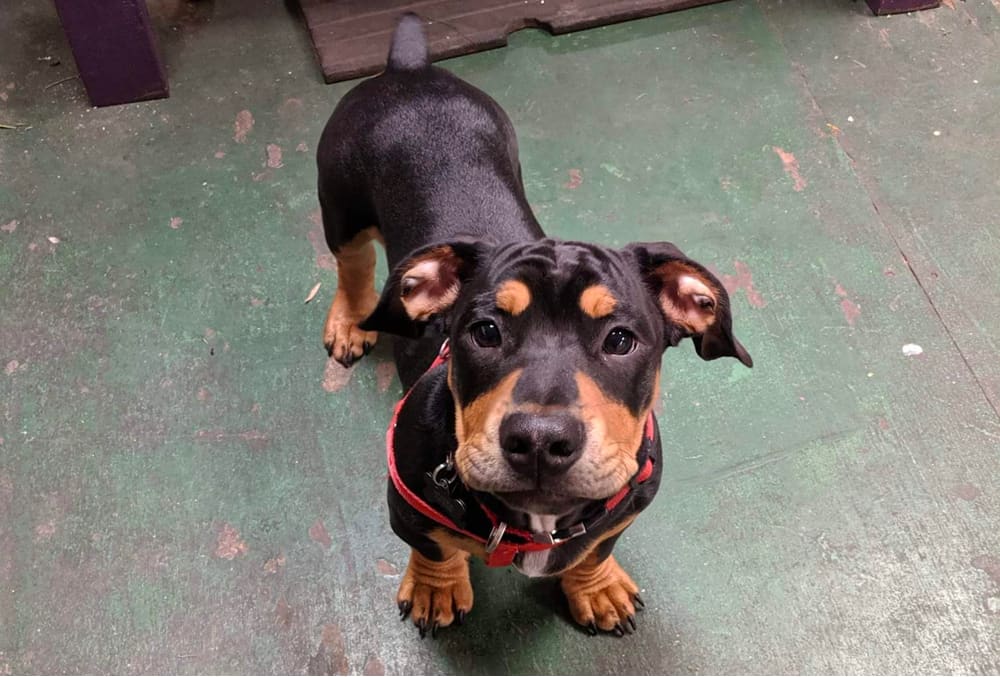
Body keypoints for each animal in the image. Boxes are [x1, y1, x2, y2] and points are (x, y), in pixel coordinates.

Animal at [316, 13, 752, 636]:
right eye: (484, 332)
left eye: (621, 340)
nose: (541, 441)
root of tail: (409, 69)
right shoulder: (406, 501)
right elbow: (433, 546)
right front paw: (435, 590)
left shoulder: (627, 504)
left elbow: (595, 548)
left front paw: (598, 587)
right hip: (342, 204)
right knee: (351, 264)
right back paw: (351, 322)